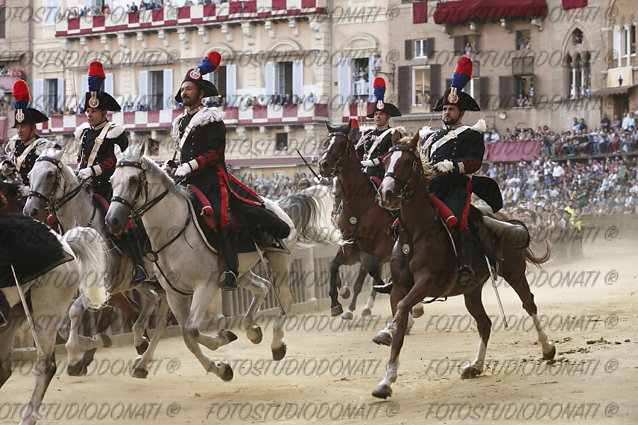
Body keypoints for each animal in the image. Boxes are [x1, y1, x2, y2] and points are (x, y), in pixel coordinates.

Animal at [23, 147, 166, 376]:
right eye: (29, 176)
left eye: (50, 174)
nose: (30, 211)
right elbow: (63, 327)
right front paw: (95, 342)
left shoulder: (100, 285)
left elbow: (75, 312)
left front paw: (75, 356)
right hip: (136, 282)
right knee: (151, 299)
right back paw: (140, 341)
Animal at [105, 144, 328, 380]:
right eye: (111, 180)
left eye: (133, 180)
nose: (112, 221)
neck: (173, 230)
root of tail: (276, 205)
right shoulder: (175, 294)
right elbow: (187, 336)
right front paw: (220, 367)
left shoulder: (206, 286)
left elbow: (191, 330)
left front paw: (223, 341)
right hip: (239, 271)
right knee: (262, 286)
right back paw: (252, 329)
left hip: (280, 262)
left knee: (285, 300)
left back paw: (276, 343)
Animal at [372, 132, 556, 398]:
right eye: (386, 160)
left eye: (407, 162)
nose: (386, 194)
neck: (414, 234)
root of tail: (501, 216)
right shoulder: (398, 287)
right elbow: (400, 318)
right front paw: (386, 380)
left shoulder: (427, 281)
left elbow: (404, 307)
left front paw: (389, 329)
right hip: (472, 290)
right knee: (484, 322)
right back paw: (476, 366)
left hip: (514, 273)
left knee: (529, 305)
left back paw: (547, 348)